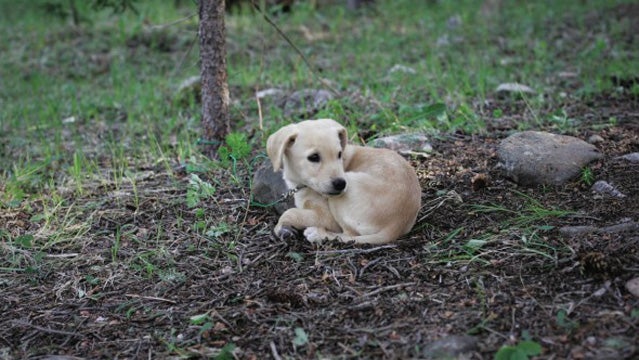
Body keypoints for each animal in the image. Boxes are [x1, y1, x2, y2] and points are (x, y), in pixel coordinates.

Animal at [268, 118, 422, 245]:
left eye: (339, 154)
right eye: (313, 157)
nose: (341, 184)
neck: (304, 184)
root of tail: (396, 225)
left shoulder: (326, 217)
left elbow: (290, 212)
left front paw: (280, 227)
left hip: (340, 199)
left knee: (348, 236)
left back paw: (317, 234)